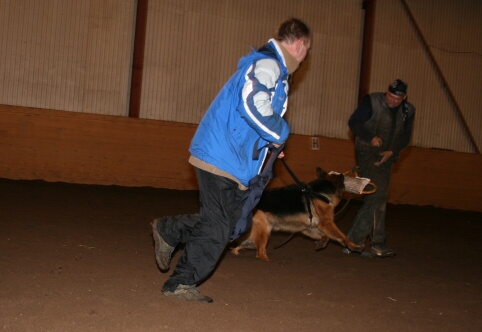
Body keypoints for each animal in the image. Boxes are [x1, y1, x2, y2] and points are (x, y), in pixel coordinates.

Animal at [232, 167, 364, 260]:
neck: (319, 193)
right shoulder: (327, 224)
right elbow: (342, 236)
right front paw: (354, 246)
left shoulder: (308, 228)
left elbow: (325, 236)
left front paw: (321, 243)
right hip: (264, 232)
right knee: (259, 253)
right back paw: (268, 261)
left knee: (240, 246)